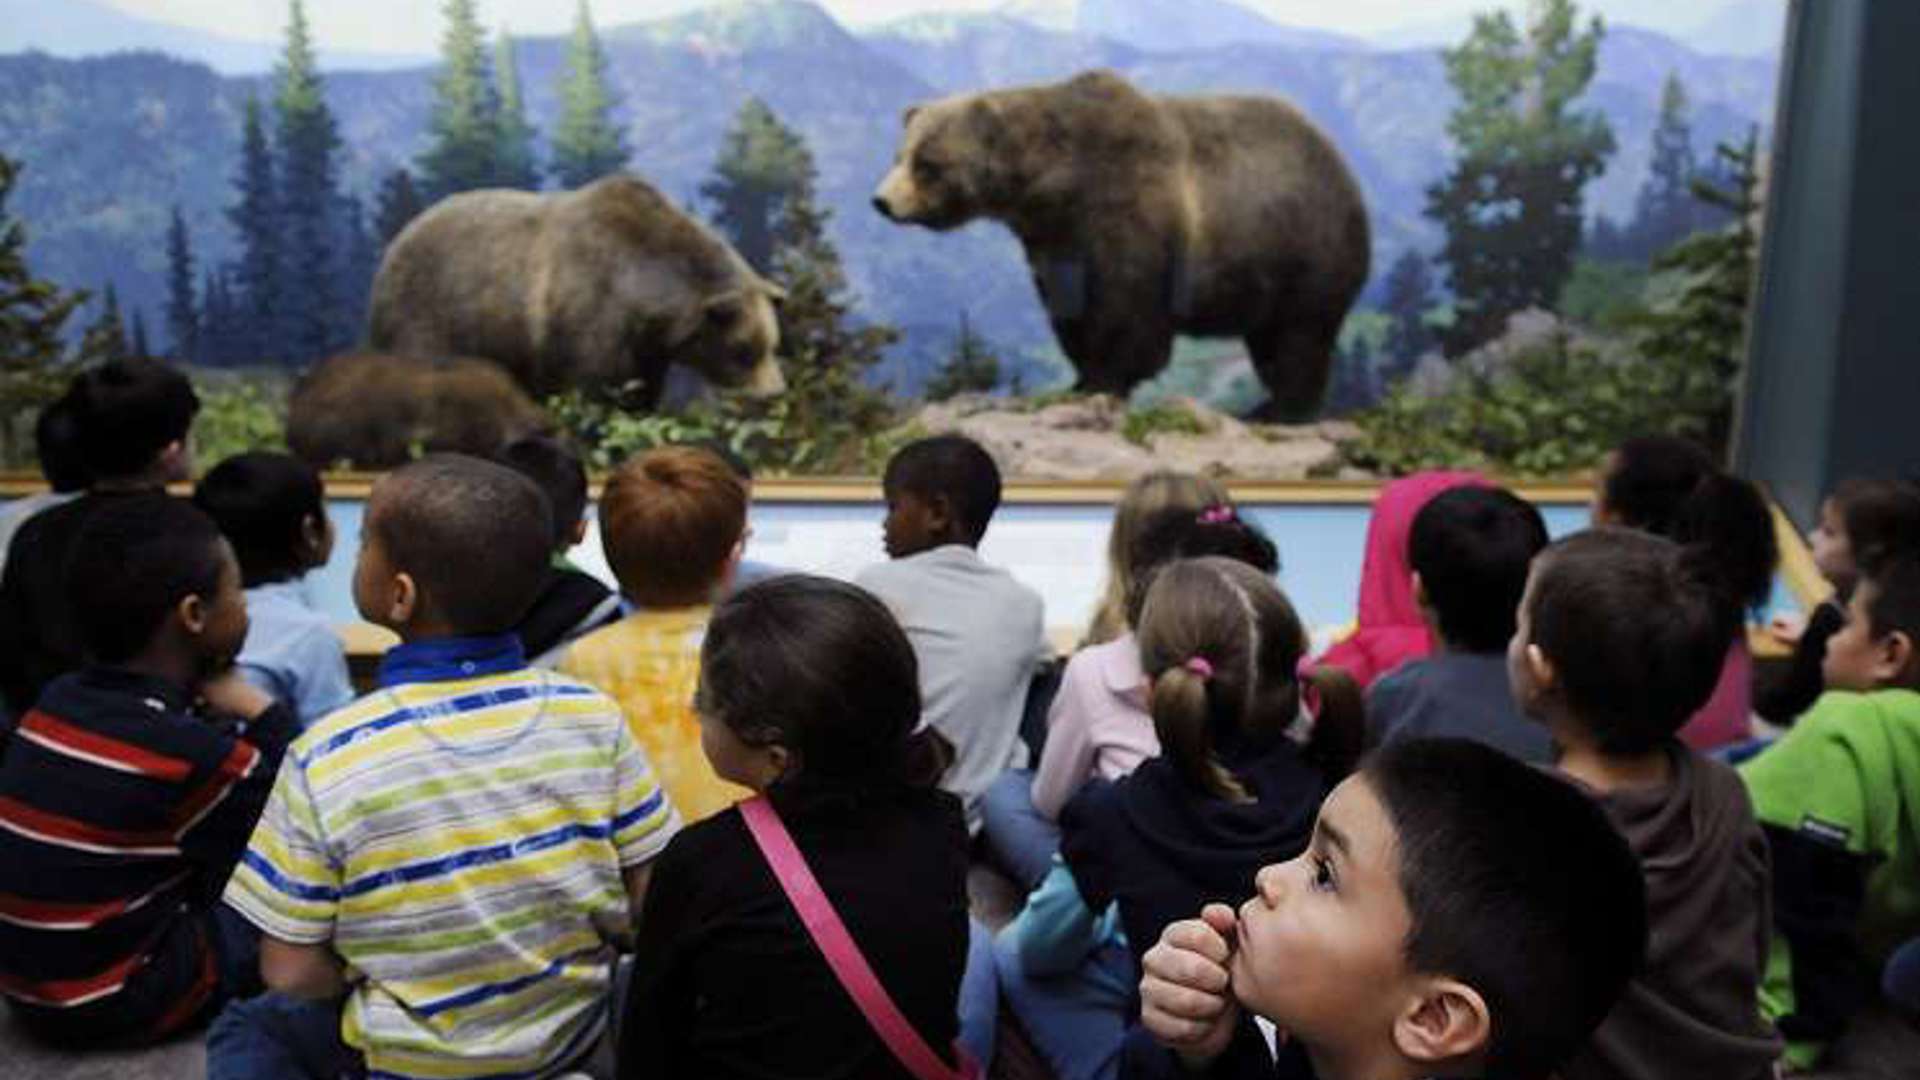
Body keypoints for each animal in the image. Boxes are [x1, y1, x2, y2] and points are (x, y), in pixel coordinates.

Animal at [369, 174, 787, 409]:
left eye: (773, 344)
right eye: (743, 349)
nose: (774, 394)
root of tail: (394, 244)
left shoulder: (645, 352)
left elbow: (637, 398)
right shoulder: (585, 320)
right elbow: (593, 395)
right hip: (433, 316)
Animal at [873, 70, 1371, 418]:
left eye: (926, 164)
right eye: (899, 155)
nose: (882, 201)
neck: (1052, 184)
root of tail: (1340, 165)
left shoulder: (1124, 209)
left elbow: (1125, 308)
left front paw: (1105, 378)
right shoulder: (1056, 240)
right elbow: (1071, 307)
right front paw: (1078, 379)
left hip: (1301, 249)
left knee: (1297, 338)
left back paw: (1279, 407)